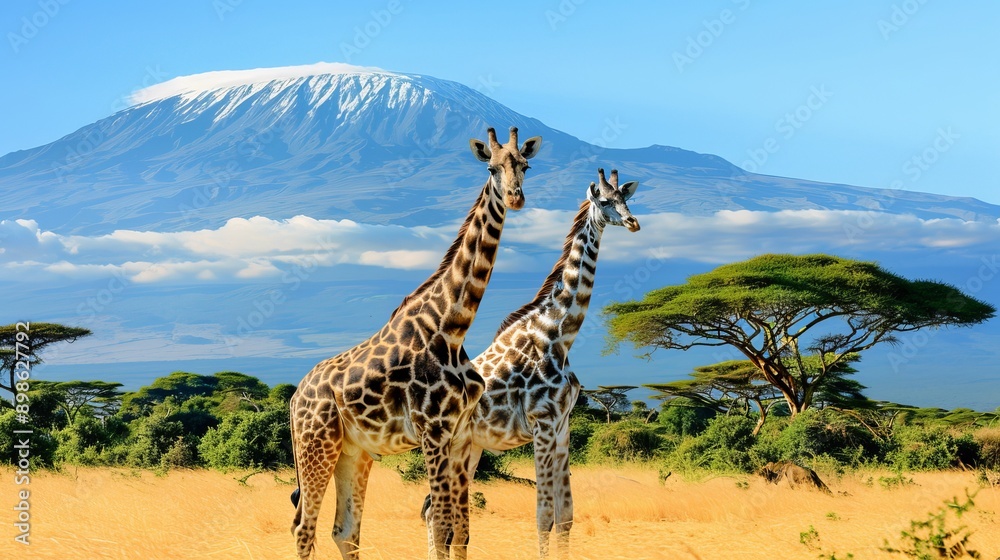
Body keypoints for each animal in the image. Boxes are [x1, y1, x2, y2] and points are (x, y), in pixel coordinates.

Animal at [289, 126, 542, 560]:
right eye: (491, 168)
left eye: (525, 165)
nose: (515, 198)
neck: (452, 327)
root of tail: (293, 398)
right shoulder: (433, 431)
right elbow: (440, 527)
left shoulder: (459, 436)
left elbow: (458, 531)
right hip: (315, 442)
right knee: (304, 529)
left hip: (353, 452)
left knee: (344, 529)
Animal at [421, 168, 641, 557]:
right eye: (604, 201)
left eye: (626, 199)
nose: (633, 222)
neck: (559, 335)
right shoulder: (542, 424)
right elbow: (544, 516)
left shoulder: (563, 427)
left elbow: (566, 516)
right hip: (446, 445)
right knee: (435, 512)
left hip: (468, 447)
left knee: (436, 512)